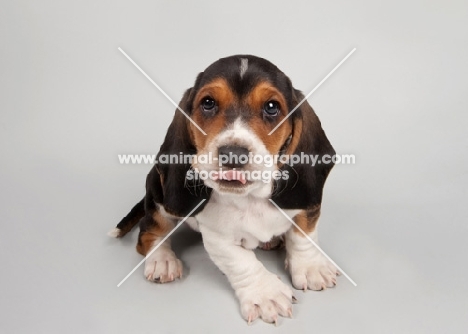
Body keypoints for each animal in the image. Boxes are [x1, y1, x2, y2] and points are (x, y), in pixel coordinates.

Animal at [109, 54, 336, 324]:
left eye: (272, 107)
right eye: (208, 103)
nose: (233, 154)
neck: (250, 197)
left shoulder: (305, 208)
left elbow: (303, 236)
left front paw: (312, 267)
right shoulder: (218, 237)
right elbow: (241, 261)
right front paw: (266, 294)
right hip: (158, 196)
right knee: (150, 232)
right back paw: (162, 260)